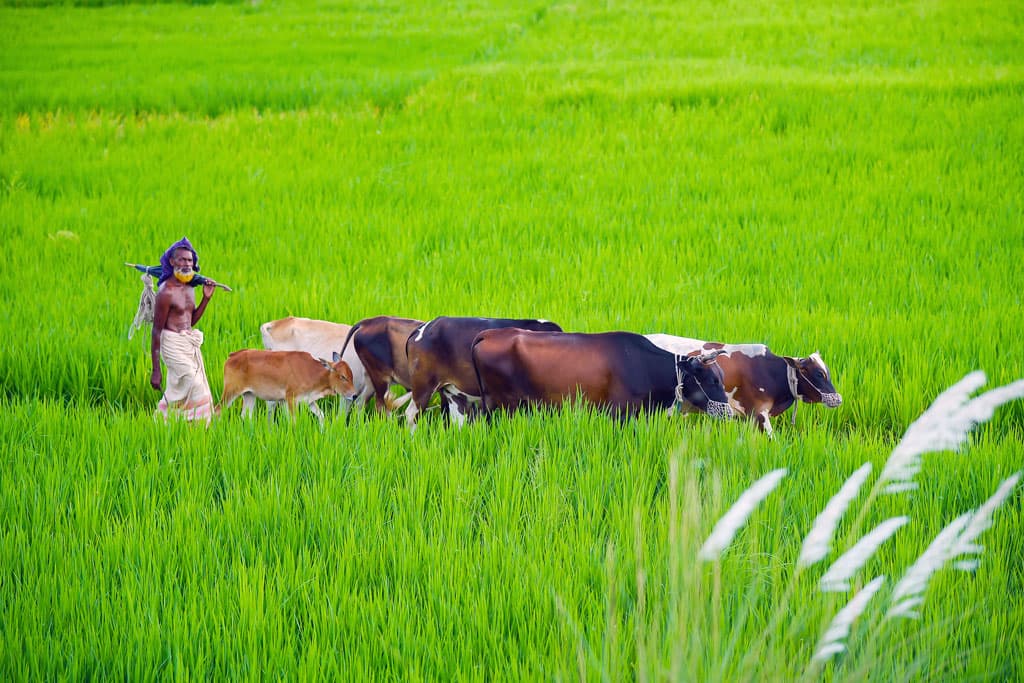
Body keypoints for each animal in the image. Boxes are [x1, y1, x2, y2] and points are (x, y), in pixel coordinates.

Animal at [218, 350, 358, 423]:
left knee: (246, 416)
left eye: (351, 375)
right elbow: (294, 421)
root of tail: (232, 356)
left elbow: (321, 415)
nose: (354, 395)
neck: (312, 372)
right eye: (343, 377)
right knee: (218, 411)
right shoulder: (291, 398)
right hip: (231, 391)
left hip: (249, 394)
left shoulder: (309, 401)